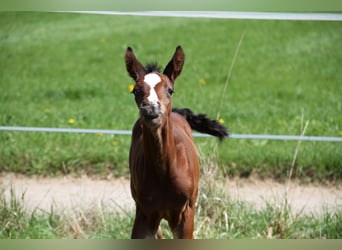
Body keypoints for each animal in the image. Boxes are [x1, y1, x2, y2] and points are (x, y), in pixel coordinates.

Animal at [124, 45, 228, 238]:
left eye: (170, 90)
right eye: (135, 90)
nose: (151, 109)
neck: (164, 172)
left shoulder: (185, 215)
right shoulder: (144, 214)